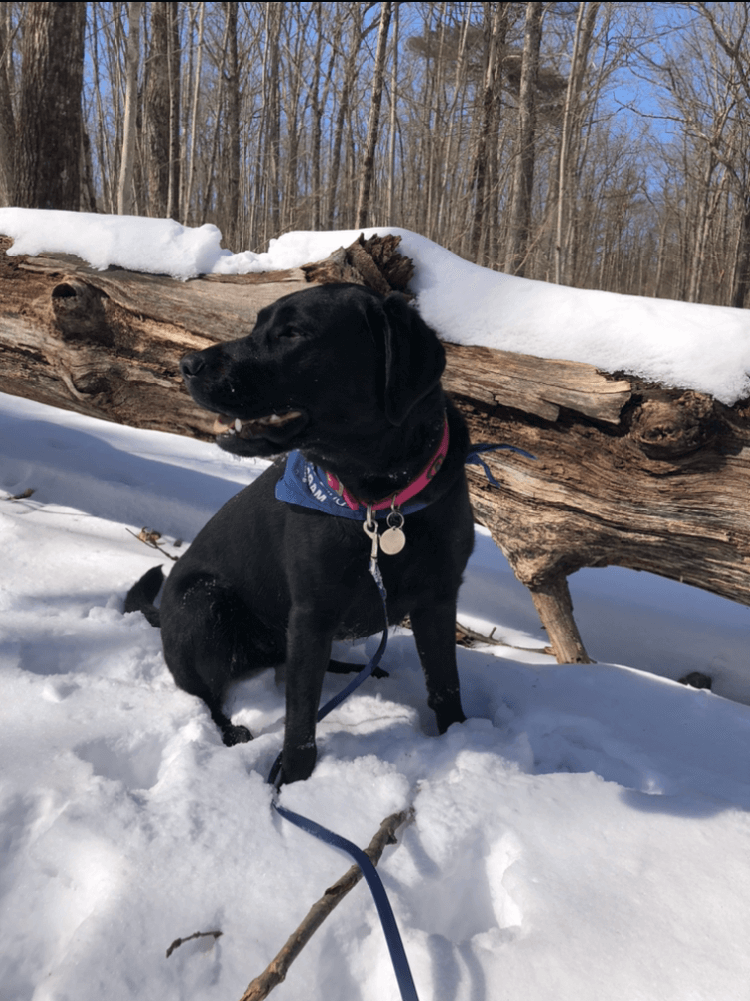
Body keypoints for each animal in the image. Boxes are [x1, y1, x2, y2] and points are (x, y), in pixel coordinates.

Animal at [125, 280, 470, 780]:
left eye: (292, 333)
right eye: (256, 325)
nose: (187, 364)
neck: (379, 501)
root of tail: (161, 612)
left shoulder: (439, 600)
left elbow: (446, 687)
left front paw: (461, 737)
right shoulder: (311, 612)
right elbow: (301, 718)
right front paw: (292, 780)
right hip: (204, 604)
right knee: (206, 695)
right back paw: (231, 730)